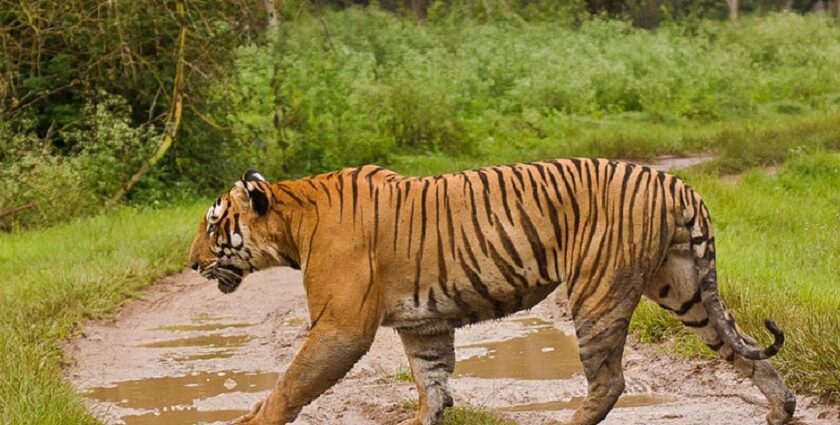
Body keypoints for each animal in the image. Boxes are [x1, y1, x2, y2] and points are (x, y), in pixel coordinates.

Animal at [187, 160, 796, 424]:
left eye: (212, 225)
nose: (190, 264)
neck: (292, 220)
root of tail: (674, 180)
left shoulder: (340, 326)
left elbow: (291, 383)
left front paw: (255, 420)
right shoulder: (424, 324)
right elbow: (432, 387)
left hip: (598, 291)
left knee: (609, 381)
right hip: (683, 287)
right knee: (744, 351)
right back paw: (781, 409)